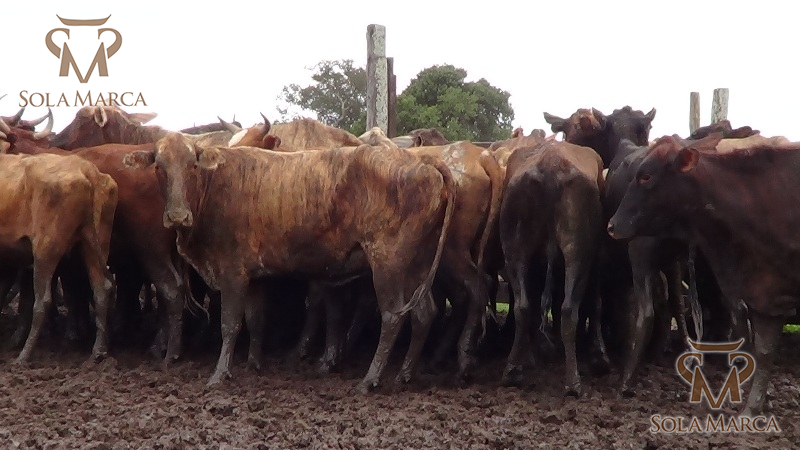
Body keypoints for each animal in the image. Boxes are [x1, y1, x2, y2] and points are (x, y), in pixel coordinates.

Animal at [0, 118, 118, 363]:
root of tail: (86, 171)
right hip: (94, 245)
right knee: (102, 290)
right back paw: (98, 351)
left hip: (46, 249)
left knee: (42, 300)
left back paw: (24, 355)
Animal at [123, 133, 456, 392]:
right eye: (159, 168)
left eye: (192, 165)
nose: (177, 216)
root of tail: (421, 160)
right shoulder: (254, 277)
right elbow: (255, 319)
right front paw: (253, 363)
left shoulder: (232, 272)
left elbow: (230, 324)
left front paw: (220, 374)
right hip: (417, 266)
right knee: (424, 314)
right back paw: (403, 375)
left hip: (388, 264)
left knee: (392, 316)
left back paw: (369, 379)